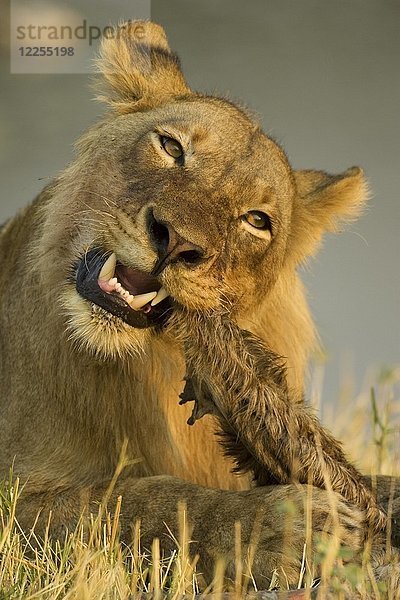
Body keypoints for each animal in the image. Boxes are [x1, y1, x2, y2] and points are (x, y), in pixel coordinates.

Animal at [1, 19, 398, 592]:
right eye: (171, 146)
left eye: (257, 220)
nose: (176, 242)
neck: (142, 368)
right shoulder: (15, 497)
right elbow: (137, 504)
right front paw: (286, 528)